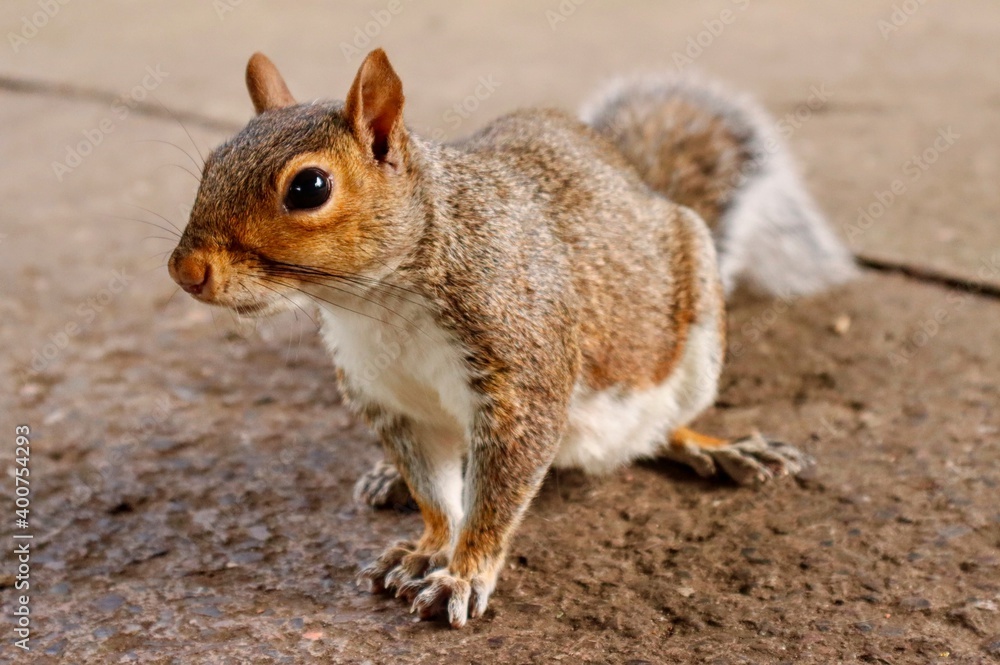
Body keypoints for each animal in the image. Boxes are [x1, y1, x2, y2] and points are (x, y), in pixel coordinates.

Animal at [168, 49, 854, 628]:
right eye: (211, 164)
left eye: (309, 187)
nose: (185, 271)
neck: (379, 303)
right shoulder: (390, 400)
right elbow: (435, 495)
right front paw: (427, 548)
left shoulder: (521, 375)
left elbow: (494, 498)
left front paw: (463, 574)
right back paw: (387, 479)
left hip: (696, 342)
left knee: (663, 428)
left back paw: (720, 447)